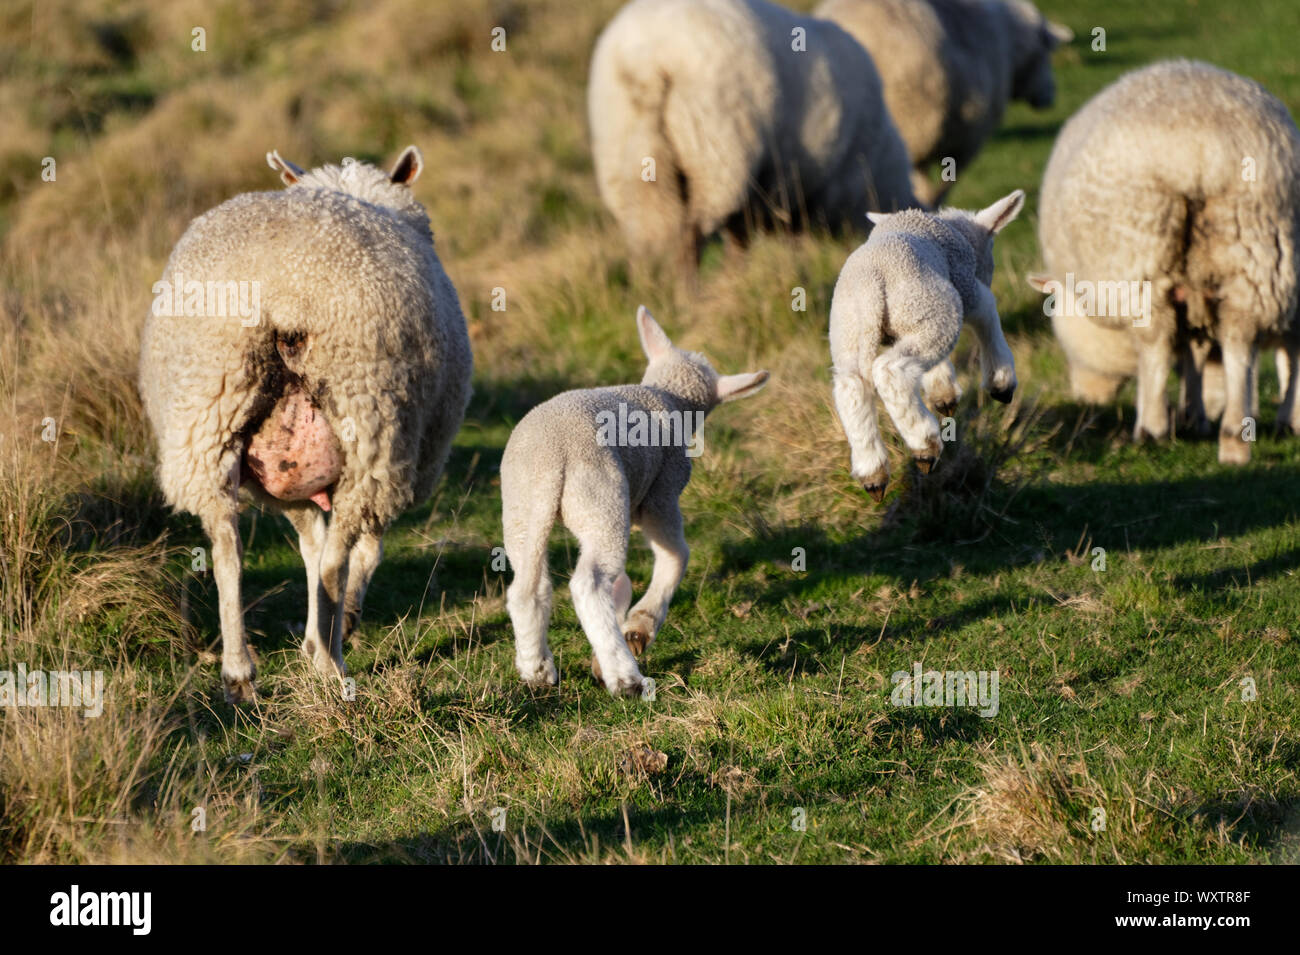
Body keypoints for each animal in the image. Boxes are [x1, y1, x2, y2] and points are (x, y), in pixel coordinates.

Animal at [138, 143, 473, 701]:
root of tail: (283, 291)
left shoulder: (287, 485)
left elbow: (309, 548)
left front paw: (314, 635)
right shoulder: (398, 463)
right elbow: (359, 554)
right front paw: (338, 629)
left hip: (208, 410)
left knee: (227, 547)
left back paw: (239, 673)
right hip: (370, 419)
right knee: (339, 558)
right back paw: (332, 666)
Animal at [590, 0, 915, 272]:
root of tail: (645, 58)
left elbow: (740, 239)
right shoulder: (814, 191)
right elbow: (779, 241)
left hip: (633, 158)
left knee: (645, 239)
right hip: (714, 155)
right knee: (690, 239)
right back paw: (689, 300)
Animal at [832, 188, 1024, 501]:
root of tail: (870, 285)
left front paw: (943, 394)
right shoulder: (966, 286)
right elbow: (988, 314)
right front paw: (1001, 382)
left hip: (850, 332)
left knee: (850, 387)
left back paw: (872, 471)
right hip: (933, 307)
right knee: (890, 371)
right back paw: (924, 445)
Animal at [1034, 59, 1300, 462]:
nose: (1084, 397)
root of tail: (1203, 150)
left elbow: (1161, 354)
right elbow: (1196, 350)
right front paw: (1196, 416)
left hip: (1141, 253)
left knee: (1155, 339)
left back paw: (1151, 429)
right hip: (1254, 247)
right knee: (1240, 341)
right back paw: (1235, 439)